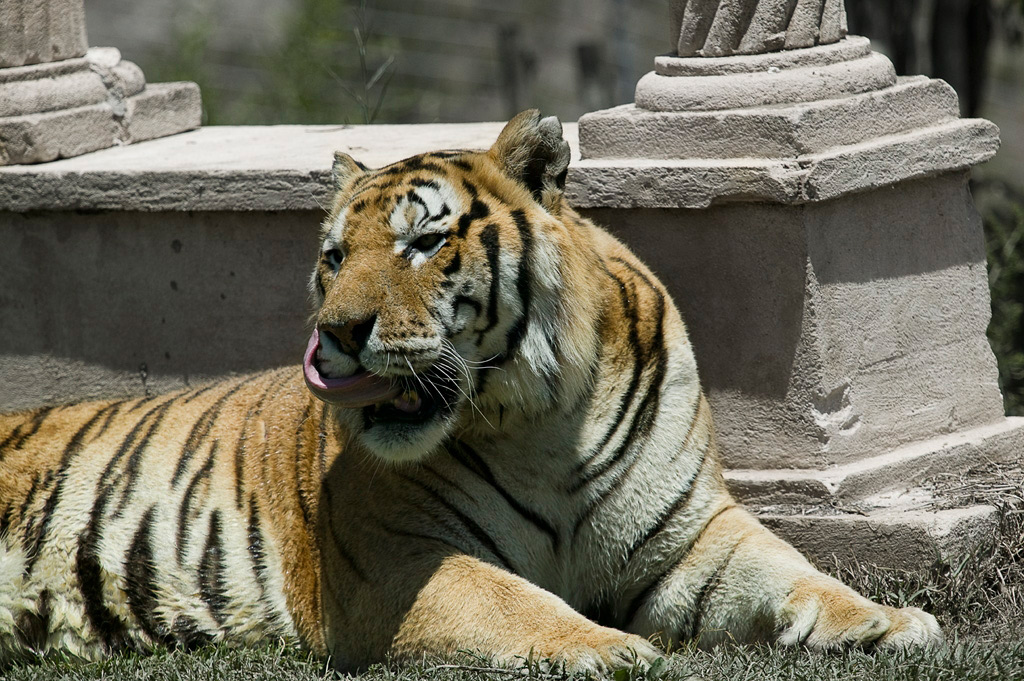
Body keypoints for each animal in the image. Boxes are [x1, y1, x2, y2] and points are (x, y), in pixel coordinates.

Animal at [0, 110, 942, 667]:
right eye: (334, 257)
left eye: (424, 242)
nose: (335, 334)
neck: (542, 421)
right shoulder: (399, 561)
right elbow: (514, 603)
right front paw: (611, 648)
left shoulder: (688, 537)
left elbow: (793, 571)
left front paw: (891, 621)